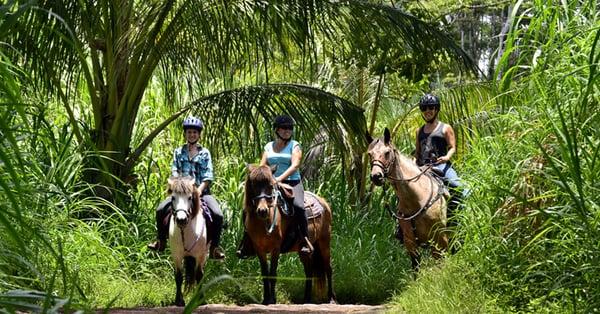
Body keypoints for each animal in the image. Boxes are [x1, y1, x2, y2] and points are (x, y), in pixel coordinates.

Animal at [166, 177, 209, 306]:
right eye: (173, 197)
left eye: (190, 198)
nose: (181, 219)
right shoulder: (177, 255)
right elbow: (179, 276)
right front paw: (178, 301)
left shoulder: (200, 255)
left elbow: (199, 275)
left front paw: (201, 299)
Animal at [244, 164, 338, 304]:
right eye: (253, 185)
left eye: (270, 186)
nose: (262, 210)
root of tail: (323, 202)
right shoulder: (259, 249)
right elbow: (265, 273)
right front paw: (266, 300)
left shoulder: (276, 248)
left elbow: (273, 273)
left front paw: (272, 300)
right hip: (303, 250)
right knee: (309, 271)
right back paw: (306, 299)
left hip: (324, 242)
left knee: (328, 268)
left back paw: (331, 298)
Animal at [364, 127, 448, 270]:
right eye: (370, 154)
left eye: (387, 153)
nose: (376, 176)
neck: (416, 200)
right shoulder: (410, 243)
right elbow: (416, 268)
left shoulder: (440, 239)